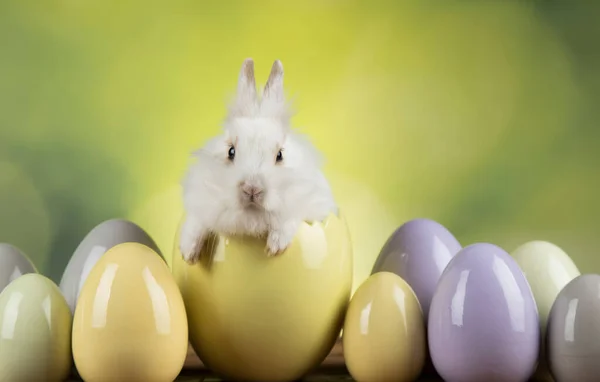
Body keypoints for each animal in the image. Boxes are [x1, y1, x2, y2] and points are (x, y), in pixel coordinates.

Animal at [178, 58, 338, 264]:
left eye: (280, 155)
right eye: (231, 151)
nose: (252, 189)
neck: (252, 219)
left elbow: (290, 219)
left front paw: (275, 247)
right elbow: (196, 222)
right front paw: (188, 253)